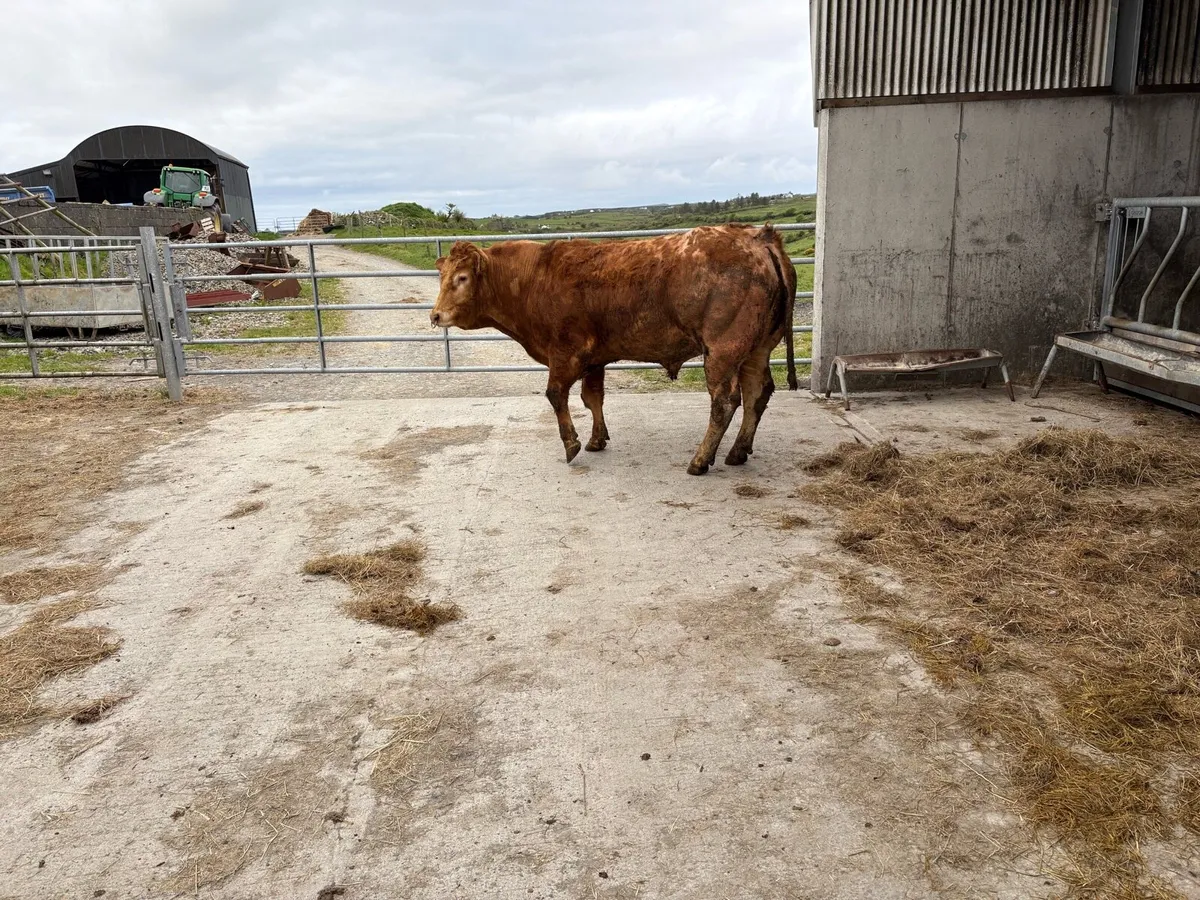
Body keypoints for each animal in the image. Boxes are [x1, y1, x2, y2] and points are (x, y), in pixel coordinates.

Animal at [430, 223, 798, 475]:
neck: (535, 277)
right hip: (757, 349)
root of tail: (759, 237)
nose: (435, 315)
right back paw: (738, 451)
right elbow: (592, 398)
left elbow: (556, 395)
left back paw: (700, 459)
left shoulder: (566, 353)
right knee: (757, 393)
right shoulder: (595, 359)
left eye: (461, 278)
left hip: (722, 351)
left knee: (725, 401)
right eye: (443, 276)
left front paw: (572, 443)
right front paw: (597, 439)